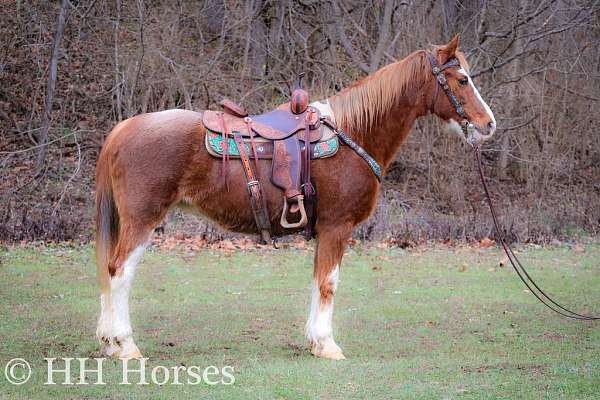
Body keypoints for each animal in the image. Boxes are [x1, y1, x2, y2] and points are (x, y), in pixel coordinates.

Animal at [96, 36, 494, 360]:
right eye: (462, 80)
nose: (488, 124)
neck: (353, 133)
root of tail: (123, 129)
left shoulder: (324, 231)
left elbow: (318, 281)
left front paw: (315, 341)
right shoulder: (337, 227)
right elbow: (328, 283)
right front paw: (328, 345)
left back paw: (109, 342)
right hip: (142, 221)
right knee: (120, 273)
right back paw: (126, 345)